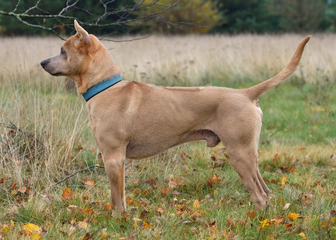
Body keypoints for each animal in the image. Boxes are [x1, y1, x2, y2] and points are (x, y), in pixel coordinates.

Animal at [40, 19, 312, 213]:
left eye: (63, 51)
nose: (42, 62)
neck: (105, 87)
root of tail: (245, 93)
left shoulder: (113, 157)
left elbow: (117, 199)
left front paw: (118, 221)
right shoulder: (118, 160)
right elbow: (122, 195)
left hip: (239, 152)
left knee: (260, 195)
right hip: (248, 154)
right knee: (265, 191)